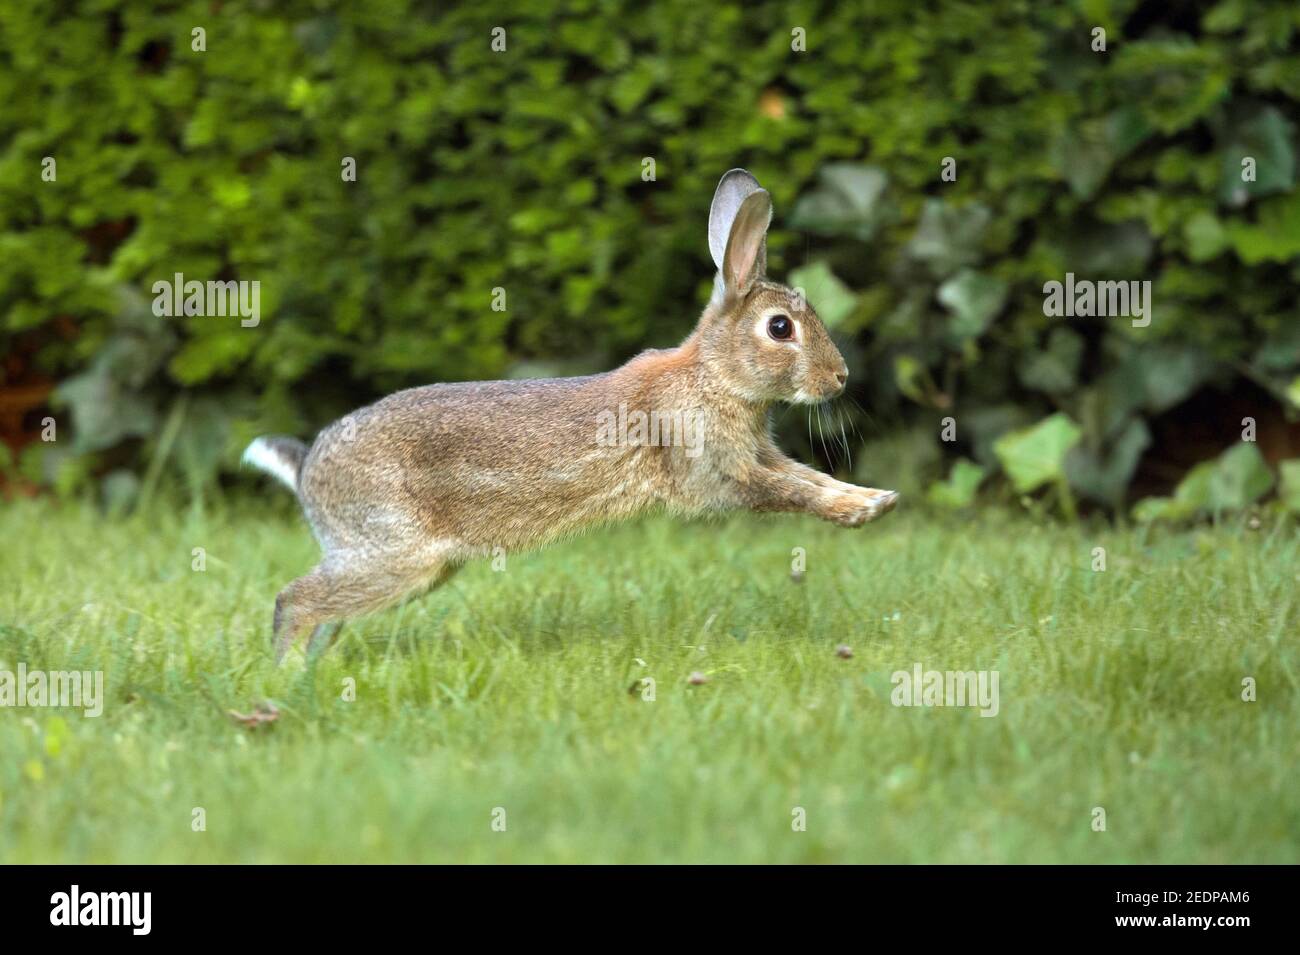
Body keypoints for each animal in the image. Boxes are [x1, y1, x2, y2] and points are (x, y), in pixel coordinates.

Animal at [244, 169, 898, 661]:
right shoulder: (717, 473)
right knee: (293, 601)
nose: (840, 378)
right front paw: (862, 511)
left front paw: (873, 499)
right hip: (395, 556)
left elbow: (809, 478)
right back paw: (285, 679)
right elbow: (790, 492)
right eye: (780, 328)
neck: (715, 375)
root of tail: (307, 470)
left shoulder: (757, 454)